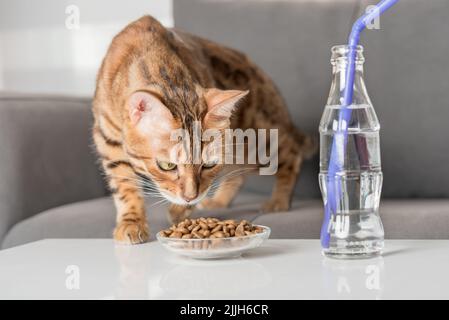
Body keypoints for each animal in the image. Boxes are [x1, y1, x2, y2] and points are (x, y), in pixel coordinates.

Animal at [92, 16, 316, 244]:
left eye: (208, 164)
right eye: (167, 165)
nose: (190, 197)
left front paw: (180, 211)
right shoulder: (107, 138)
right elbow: (124, 184)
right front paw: (132, 222)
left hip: (258, 140)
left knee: (291, 153)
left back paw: (279, 201)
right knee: (238, 174)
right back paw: (219, 201)